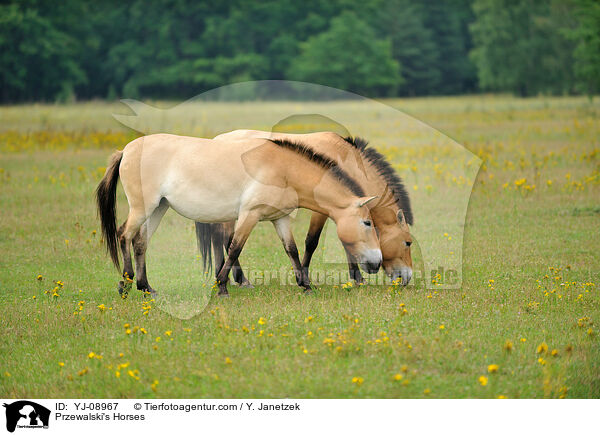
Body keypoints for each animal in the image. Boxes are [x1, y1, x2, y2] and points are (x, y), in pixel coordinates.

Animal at [96, 133, 382, 296]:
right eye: (367, 222)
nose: (377, 263)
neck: (283, 169)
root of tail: (126, 150)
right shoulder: (249, 215)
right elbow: (234, 248)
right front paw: (222, 286)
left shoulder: (279, 218)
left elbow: (291, 250)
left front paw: (305, 285)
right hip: (143, 207)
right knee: (124, 235)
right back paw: (126, 284)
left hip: (158, 208)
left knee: (140, 242)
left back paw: (146, 287)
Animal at [199, 129, 414, 286]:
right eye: (407, 242)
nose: (407, 277)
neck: (342, 158)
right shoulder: (324, 210)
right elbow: (312, 241)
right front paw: (305, 276)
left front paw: (357, 278)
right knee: (226, 239)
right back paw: (240, 279)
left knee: (218, 238)